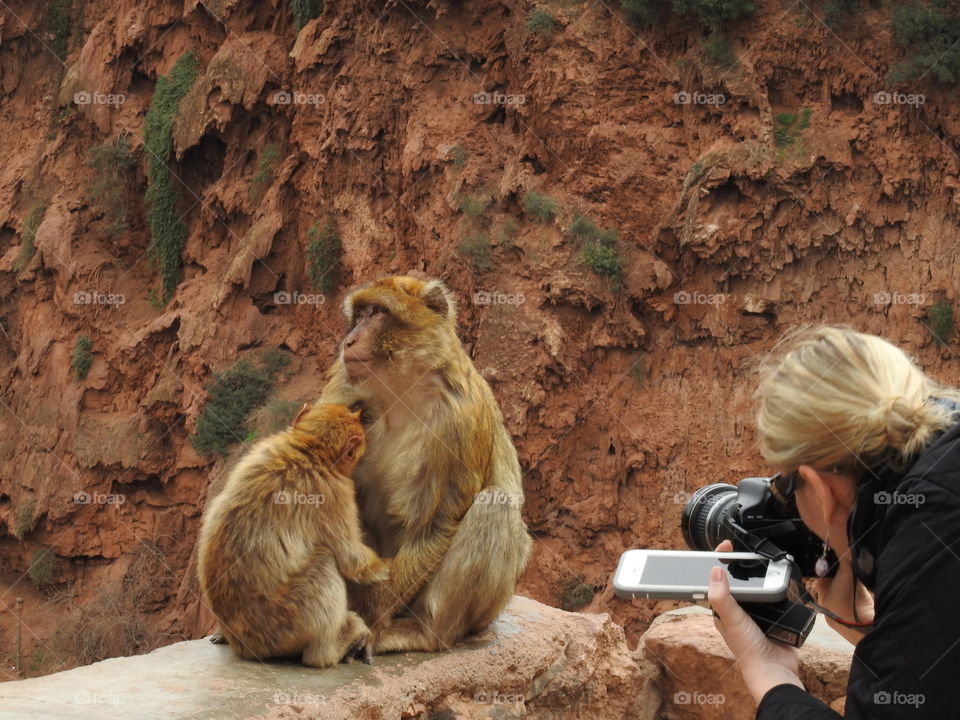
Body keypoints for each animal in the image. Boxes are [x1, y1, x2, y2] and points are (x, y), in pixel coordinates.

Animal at [197, 402, 388, 668]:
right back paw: (334, 647)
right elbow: (351, 559)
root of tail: (244, 646)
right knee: (325, 563)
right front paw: (387, 567)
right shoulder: (335, 494)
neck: (309, 448)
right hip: (287, 623)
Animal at [320, 276, 532, 652]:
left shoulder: (462, 417)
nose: (349, 341)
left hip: (480, 612)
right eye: (359, 314)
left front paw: (372, 622)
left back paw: (426, 632)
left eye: (377, 313)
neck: (403, 388)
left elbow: (436, 522)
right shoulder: (343, 385)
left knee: (495, 505)